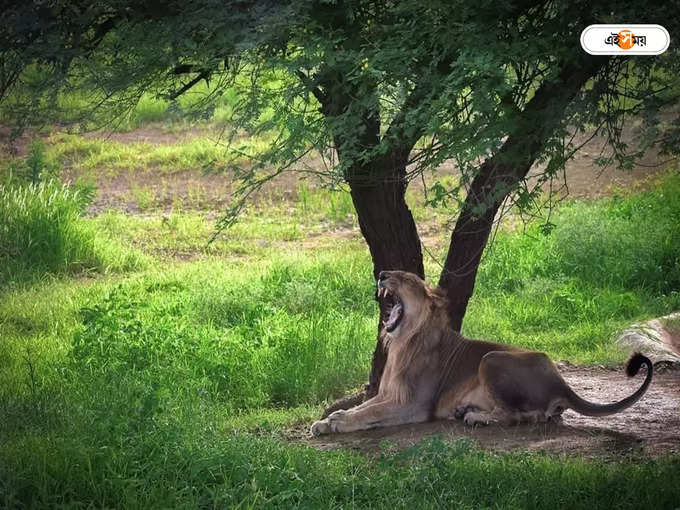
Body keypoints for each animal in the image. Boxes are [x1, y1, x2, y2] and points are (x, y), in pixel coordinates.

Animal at [312, 270, 652, 434]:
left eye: (405, 278)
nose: (382, 273)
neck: (402, 341)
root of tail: (561, 381)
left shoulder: (415, 405)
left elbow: (370, 413)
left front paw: (337, 423)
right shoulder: (388, 393)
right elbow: (363, 407)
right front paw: (327, 420)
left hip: (491, 359)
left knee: (521, 416)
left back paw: (475, 417)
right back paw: (466, 411)